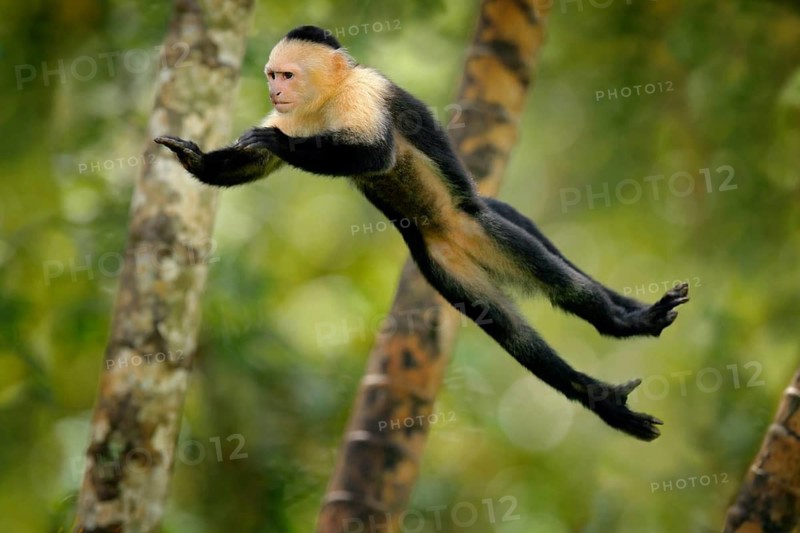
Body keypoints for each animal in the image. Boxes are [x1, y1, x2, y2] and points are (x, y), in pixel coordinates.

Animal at [156, 25, 689, 441]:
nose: (274, 92)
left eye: (286, 75)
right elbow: (252, 164)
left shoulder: (364, 93)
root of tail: (455, 233)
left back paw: (622, 321)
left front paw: (275, 140)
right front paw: (193, 158)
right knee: (511, 331)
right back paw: (599, 394)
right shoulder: (297, 112)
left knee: (550, 272)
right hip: (444, 267)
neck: (326, 99)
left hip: (481, 231)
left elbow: (376, 154)